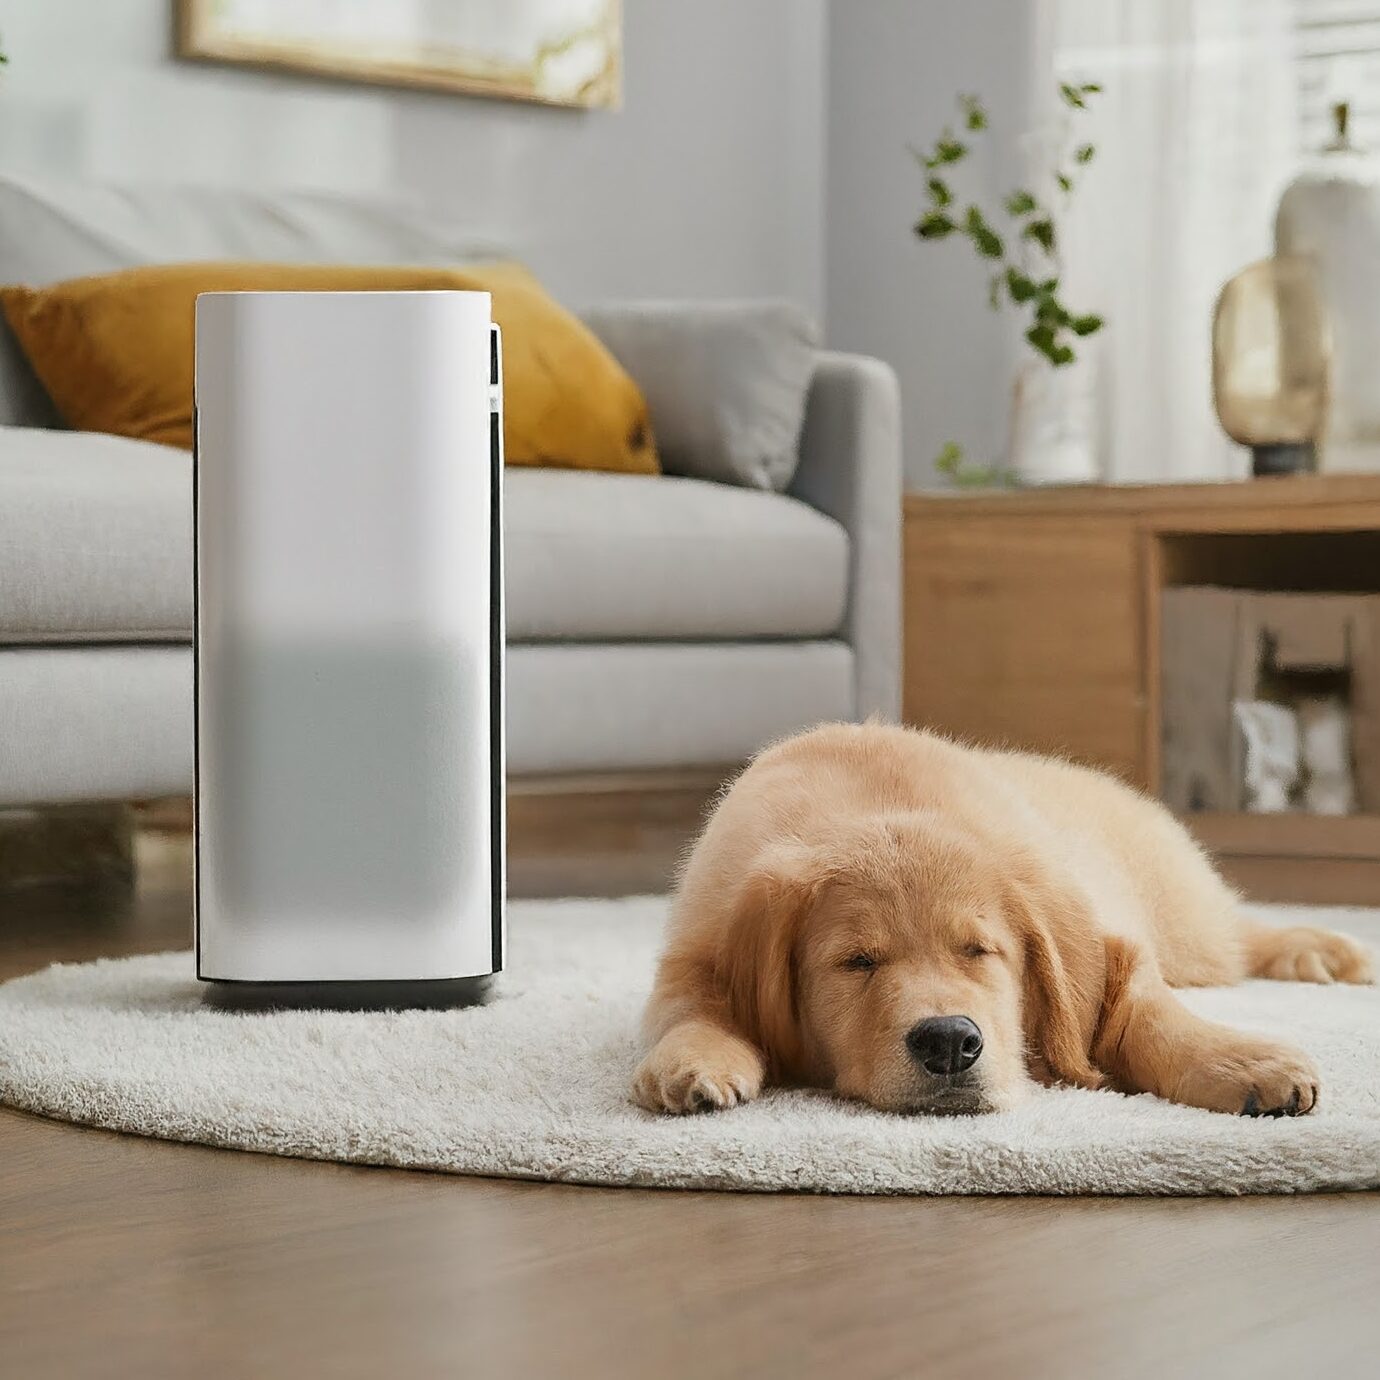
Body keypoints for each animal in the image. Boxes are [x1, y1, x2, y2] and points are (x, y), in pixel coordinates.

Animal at [632, 723, 1374, 1120]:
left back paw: (1322, 950)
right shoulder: (699, 945)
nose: (948, 1043)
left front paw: (1242, 1061)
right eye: (857, 962)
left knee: (1235, 934)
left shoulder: (1102, 941)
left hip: (1184, 914)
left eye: (979, 951)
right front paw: (694, 1061)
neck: (874, 803)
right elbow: (695, 1008)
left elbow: (1147, 1010)